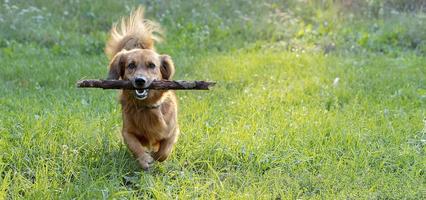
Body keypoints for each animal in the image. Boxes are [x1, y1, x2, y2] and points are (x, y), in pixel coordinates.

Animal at [105, 6, 181, 170]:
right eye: (131, 65)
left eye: (152, 65)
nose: (140, 81)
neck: (146, 107)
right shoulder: (127, 131)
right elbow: (135, 146)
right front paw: (145, 159)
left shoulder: (173, 131)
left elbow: (164, 150)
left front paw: (155, 156)